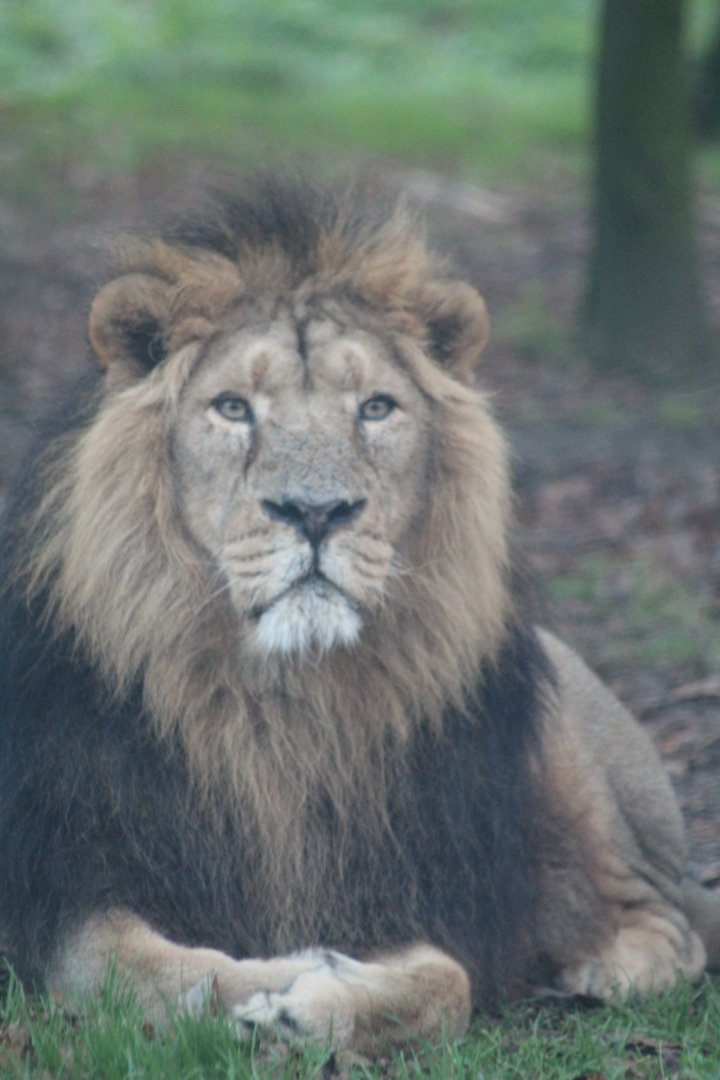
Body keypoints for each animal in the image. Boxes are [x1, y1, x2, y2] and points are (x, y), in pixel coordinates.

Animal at [0, 179, 718, 1056]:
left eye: (377, 408)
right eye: (232, 407)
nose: (316, 511)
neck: (284, 701)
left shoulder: (412, 887)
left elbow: (449, 982)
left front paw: (315, 998)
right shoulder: (60, 891)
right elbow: (162, 972)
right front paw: (283, 984)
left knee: (671, 922)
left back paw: (596, 974)